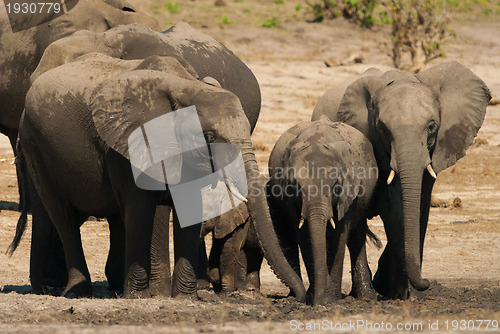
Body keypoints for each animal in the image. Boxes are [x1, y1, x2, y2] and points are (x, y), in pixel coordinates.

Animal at [16, 52, 304, 300]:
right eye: (209, 137)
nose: (302, 297)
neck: (184, 86)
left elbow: (186, 204)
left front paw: (183, 298)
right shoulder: (127, 145)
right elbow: (141, 207)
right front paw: (139, 297)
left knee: (113, 218)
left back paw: (115, 287)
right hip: (35, 144)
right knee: (63, 217)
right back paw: (79, 292)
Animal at [268, 117, 376, 306]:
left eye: (335, 185)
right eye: (296, 186)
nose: (318, 302)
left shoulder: (349, 192)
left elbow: (340, 234)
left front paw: (331, 298)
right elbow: (304, 234)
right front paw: (320, 297)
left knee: (356, 235)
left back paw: (366, 297)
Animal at [312, 62, 492, 300]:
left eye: (432, 126)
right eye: (382, 128)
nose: (427, 283)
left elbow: (420, 208)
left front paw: (405, 293)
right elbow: (393, 209)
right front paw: (402, 294)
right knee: (356, 226)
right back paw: (365, 294)